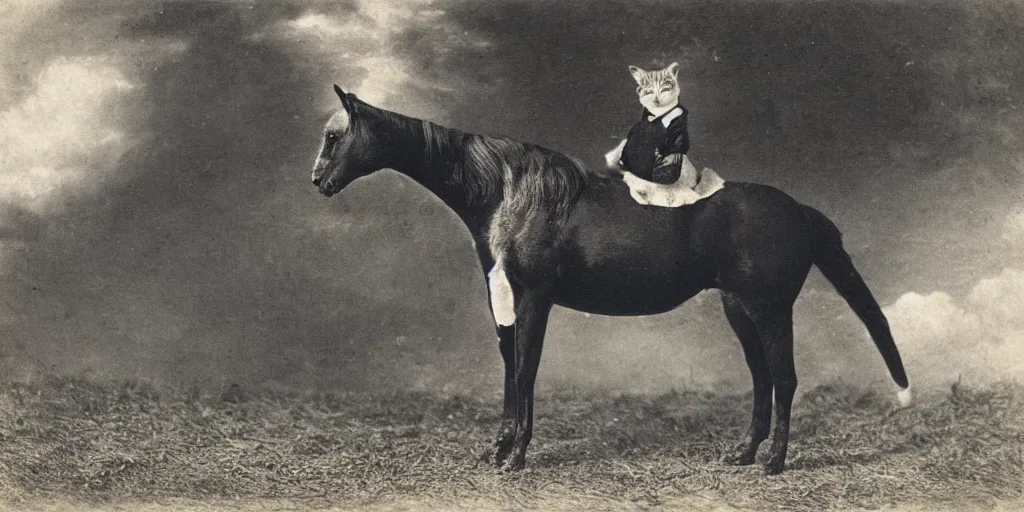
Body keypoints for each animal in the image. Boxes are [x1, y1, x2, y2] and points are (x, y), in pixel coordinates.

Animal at [307, 84, 909, 475]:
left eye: (335, 137)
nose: (318, 181)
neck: (508, 193)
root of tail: (796, 209)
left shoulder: (536, 299)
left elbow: (525, 370)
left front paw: (516, 455)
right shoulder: (505, 299)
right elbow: (510, 370)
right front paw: (498, 448)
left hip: (769, 309)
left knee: (783, 379)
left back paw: (775, 464)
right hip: (739, 309)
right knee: (763, 380)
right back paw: (742, 454)